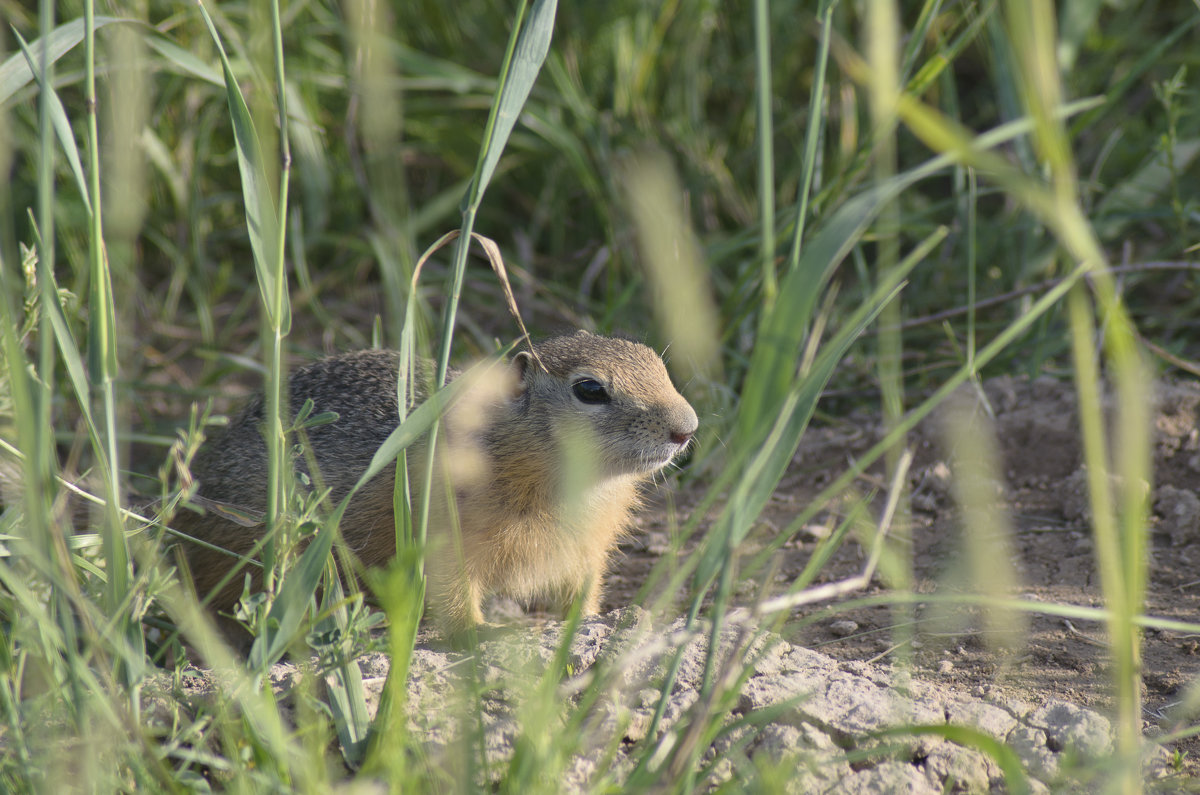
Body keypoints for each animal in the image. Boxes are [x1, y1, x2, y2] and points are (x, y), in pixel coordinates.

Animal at [175, 333, 700, 638]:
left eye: (658, 364)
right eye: (589, 389)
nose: (687, 428)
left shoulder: (587, 547)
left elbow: (581, 592)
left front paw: (589, 621)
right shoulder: (444, 539)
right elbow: (453, 597)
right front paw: (483, 634)